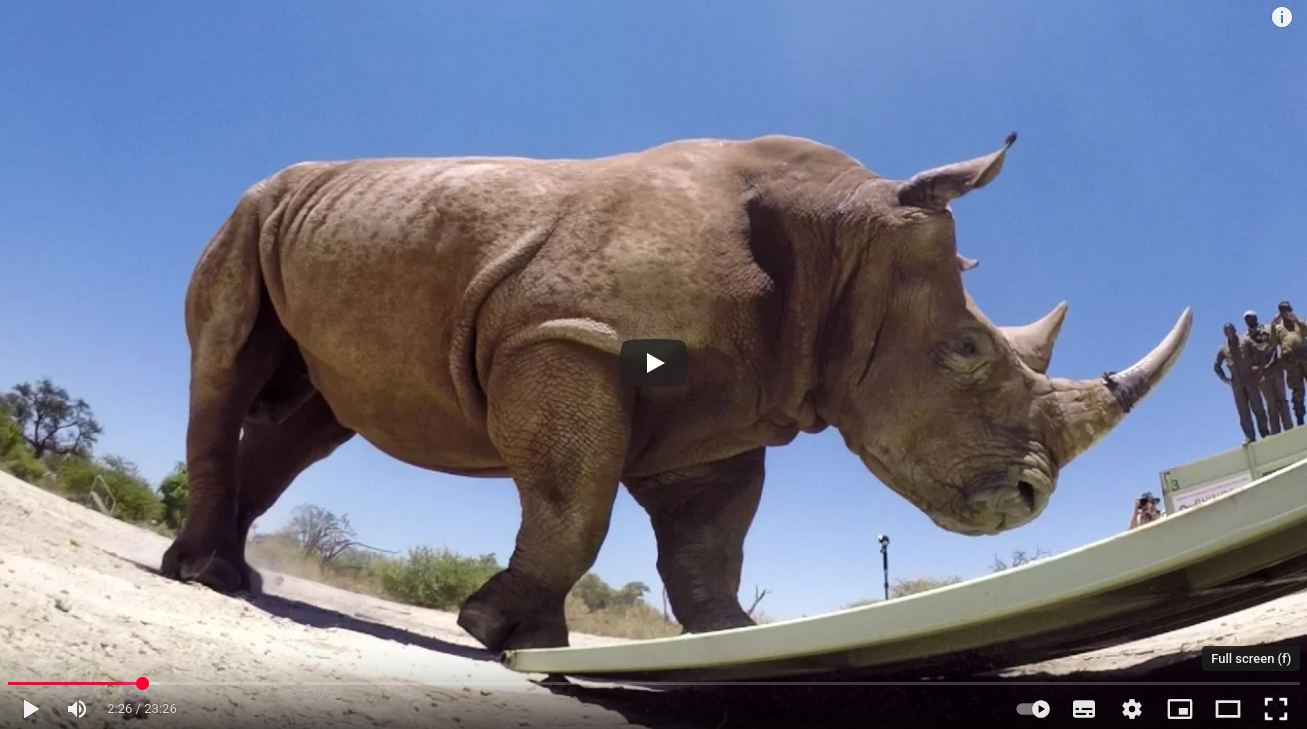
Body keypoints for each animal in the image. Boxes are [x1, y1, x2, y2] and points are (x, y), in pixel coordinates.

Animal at [162, 132, 1192, 652]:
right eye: (967, 349)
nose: (1027, 497)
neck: (841, 238)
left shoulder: (726, 414)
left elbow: (709, 539)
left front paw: (724, 638)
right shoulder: (566, 335)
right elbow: (574, 500)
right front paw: (496, 627)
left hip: (340, 225)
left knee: (316, 419)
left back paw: (236, 576)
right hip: (252, 208)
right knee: (227, 363)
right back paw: (200, 574)